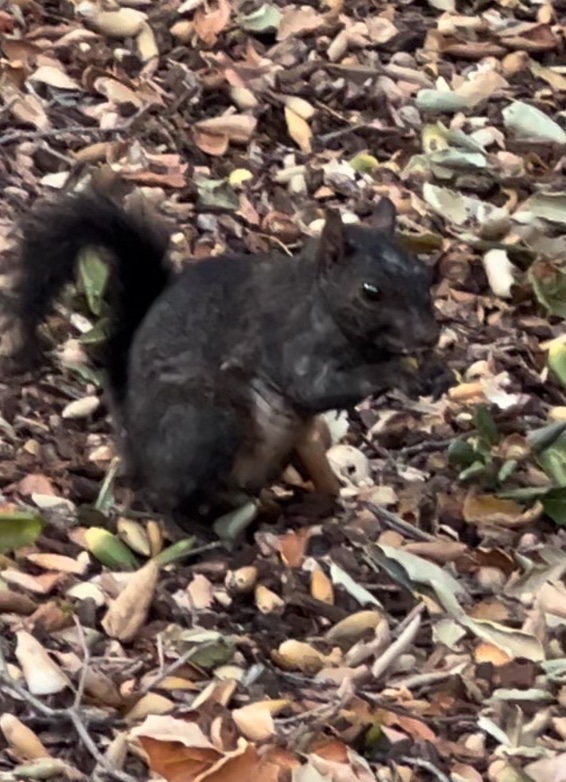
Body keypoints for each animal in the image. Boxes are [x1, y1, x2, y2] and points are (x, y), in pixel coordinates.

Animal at [10, 184, 444, 540]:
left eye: (427, 277)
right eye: (371, 291)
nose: (429, 335)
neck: (319, 300)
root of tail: (133, 444)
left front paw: (433, 370)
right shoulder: (289, 344)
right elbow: (317, 387)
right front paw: (394, 373)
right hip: (208, 424)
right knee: (162, 494)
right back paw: (186, 528)